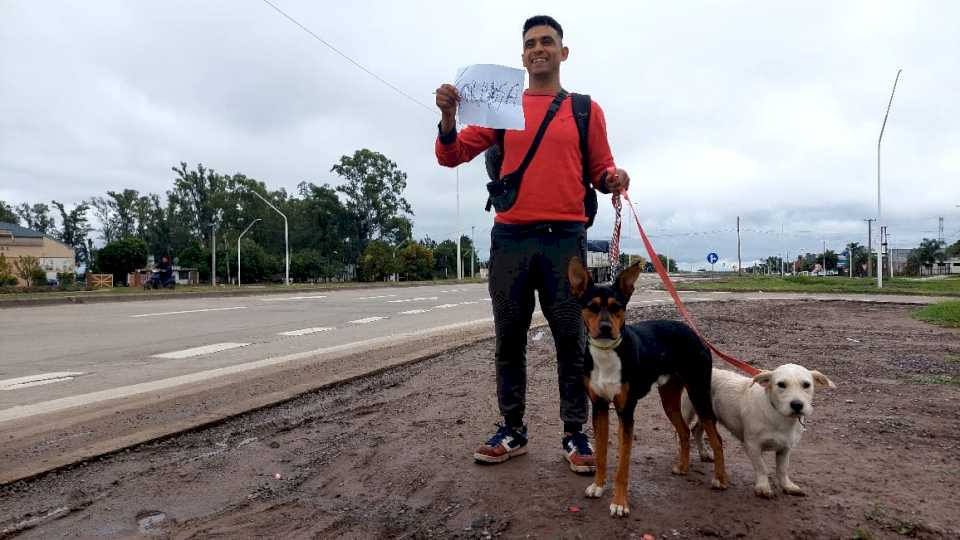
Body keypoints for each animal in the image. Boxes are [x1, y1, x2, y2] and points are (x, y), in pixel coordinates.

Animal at [568, 260, 728, 516]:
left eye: (617, 307)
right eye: (591, 307)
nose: (605, 327)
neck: (607, 354)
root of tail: (694, 334)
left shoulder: (626, 412)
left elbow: (623, 465)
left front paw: (620, 503)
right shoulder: (600, 408)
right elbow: (601, 454)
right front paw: (598, 486)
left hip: (699, 392)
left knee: (717, 439)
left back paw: (720, 479)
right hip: (669, 398)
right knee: (684, 431)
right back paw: (683, 467)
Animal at [684, 362, 832, 498]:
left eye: (806, 385)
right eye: (781, 384)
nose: (797, 405)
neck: (778, 416)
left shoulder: (785, 448)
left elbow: (782, 469)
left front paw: (787, 486)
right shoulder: (752, 445)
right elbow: (762, 468)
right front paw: (763, 487)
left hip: (708, 415)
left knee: (696, 430)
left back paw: (704, 453)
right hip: (688, 411)